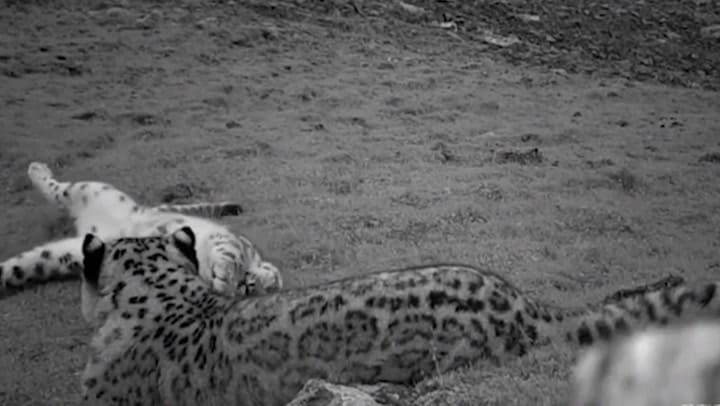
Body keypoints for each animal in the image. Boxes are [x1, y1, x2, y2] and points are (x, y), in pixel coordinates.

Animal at [0, 161, 282, 297]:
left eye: (249, 289)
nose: (244, 285)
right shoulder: (232, 240)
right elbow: (231, 254)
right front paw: (226, 277)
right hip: (92, 189)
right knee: (57, 188)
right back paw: (37, 168)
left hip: (54, 258)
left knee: (16, 268)